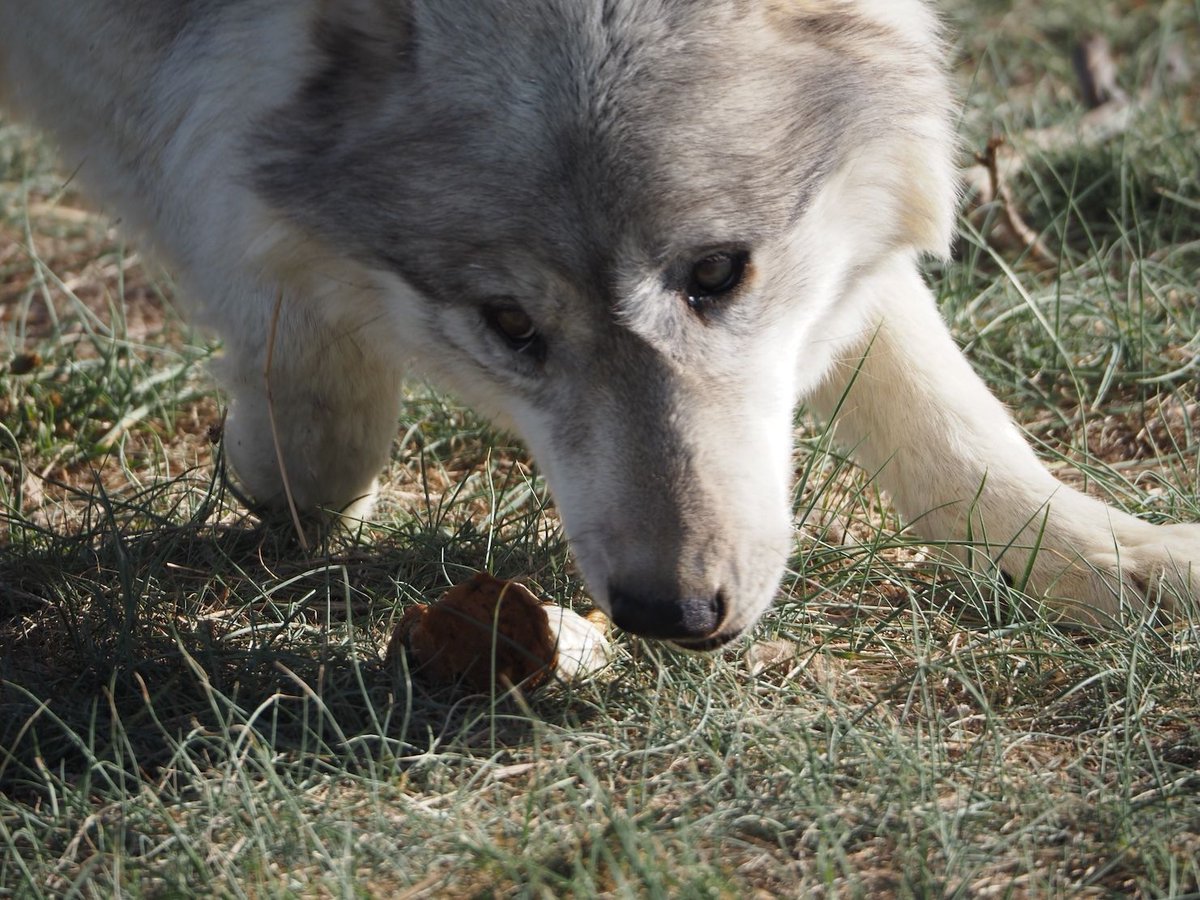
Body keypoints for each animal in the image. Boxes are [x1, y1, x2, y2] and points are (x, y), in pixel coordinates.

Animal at [1, 0, 1197, 648]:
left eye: (715, 272)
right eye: (507, 321)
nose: (670, 612)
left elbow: (932, 394)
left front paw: (1100, 554)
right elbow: (246, 242)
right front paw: (285, 462)